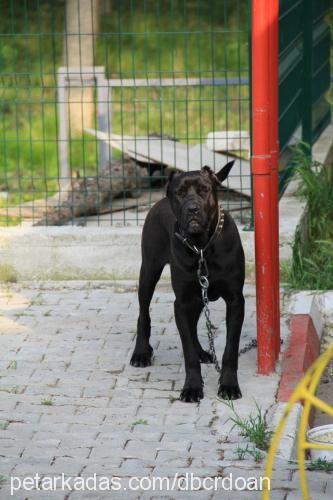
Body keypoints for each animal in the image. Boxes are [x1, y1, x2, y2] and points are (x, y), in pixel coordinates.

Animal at [130, 162, 244, 404]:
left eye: (204, 190)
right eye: (180, 193)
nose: (192, 208)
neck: (202, 247)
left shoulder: (235, 301)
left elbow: (230, 349)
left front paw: (229, 385)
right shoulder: (181, 302)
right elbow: (187, 349)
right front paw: (192, 387)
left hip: (197, 296)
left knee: (192, 325)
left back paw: (202, 352)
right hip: (149, 272)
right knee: (144, 314)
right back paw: (141, 352)